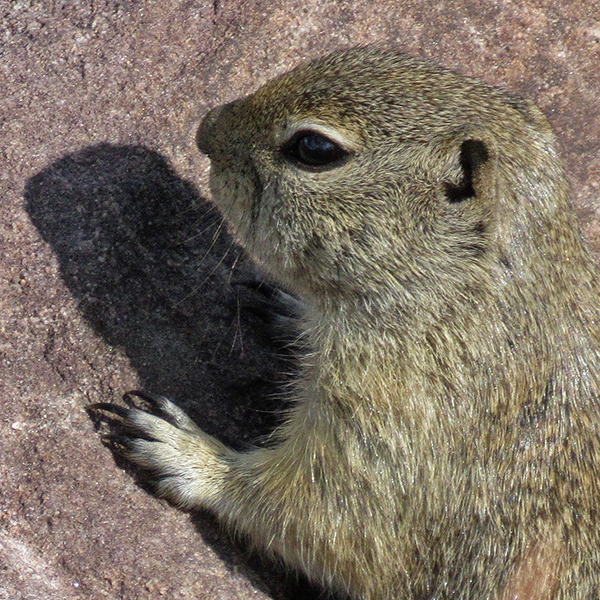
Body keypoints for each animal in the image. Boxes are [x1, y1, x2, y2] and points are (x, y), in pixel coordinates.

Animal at [97, 48, 600, 600]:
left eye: (314, 148)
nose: (205, 130)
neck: (457, 291)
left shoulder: (388, 429)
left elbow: (325, 522)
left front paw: (183, 451)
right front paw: (290, 312)